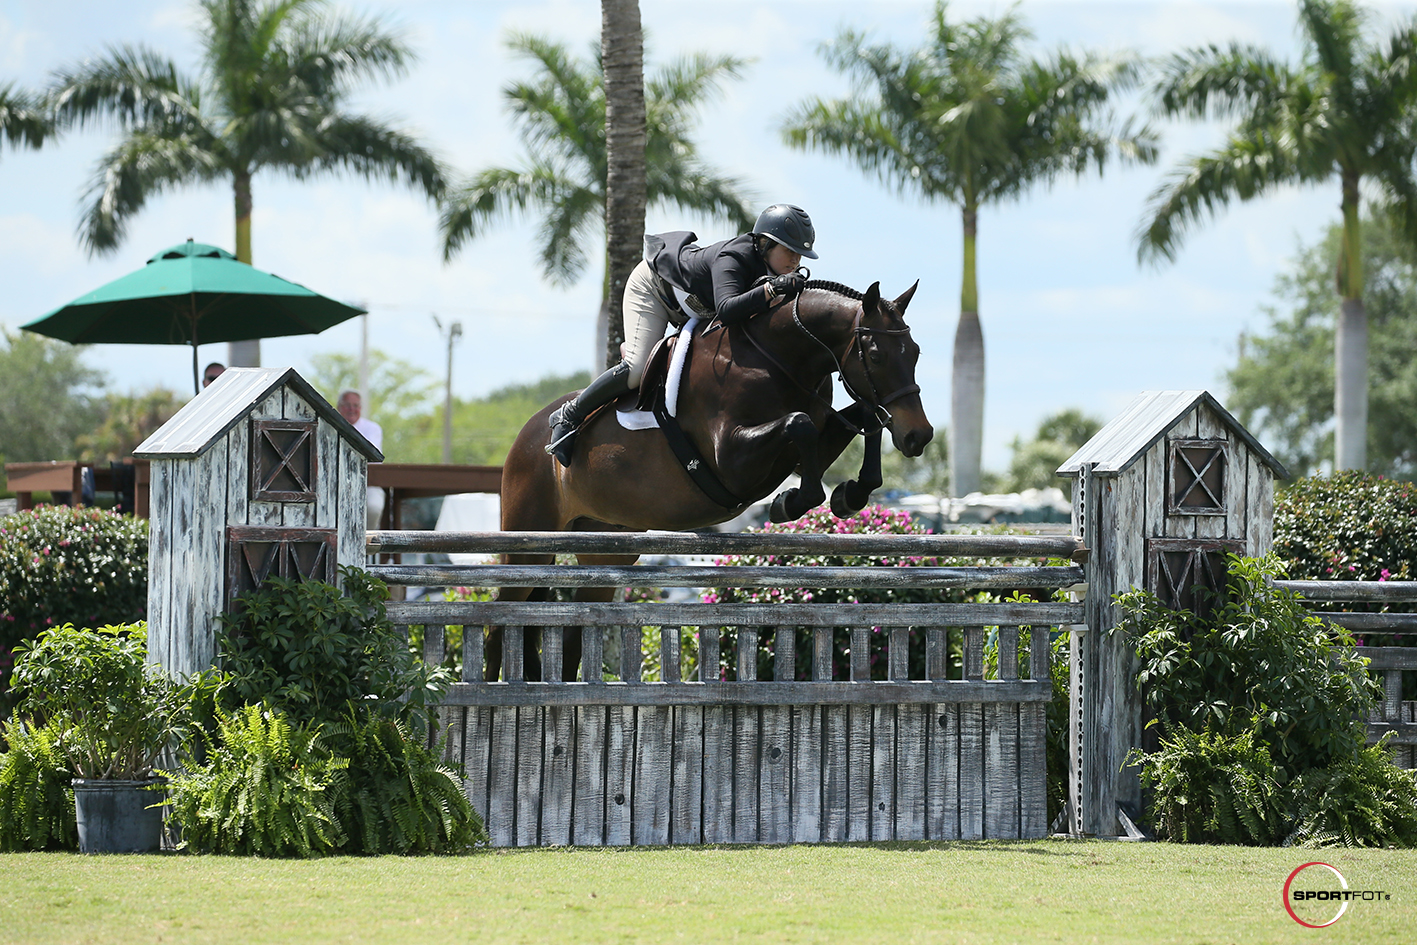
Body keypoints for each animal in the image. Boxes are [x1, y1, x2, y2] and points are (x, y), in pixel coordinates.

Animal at [487, 279, 929, 680]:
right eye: (876, 354)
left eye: (915, 353)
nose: (918, 436)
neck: (779, 359)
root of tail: (525, 436)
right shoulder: (730, 460)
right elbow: (798, 424)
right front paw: (790, 503)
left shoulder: (813, 438)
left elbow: (861, 418)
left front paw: (849, 494)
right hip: (528, 541)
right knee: (497, 624)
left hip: (604, 548)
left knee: (573, 637)